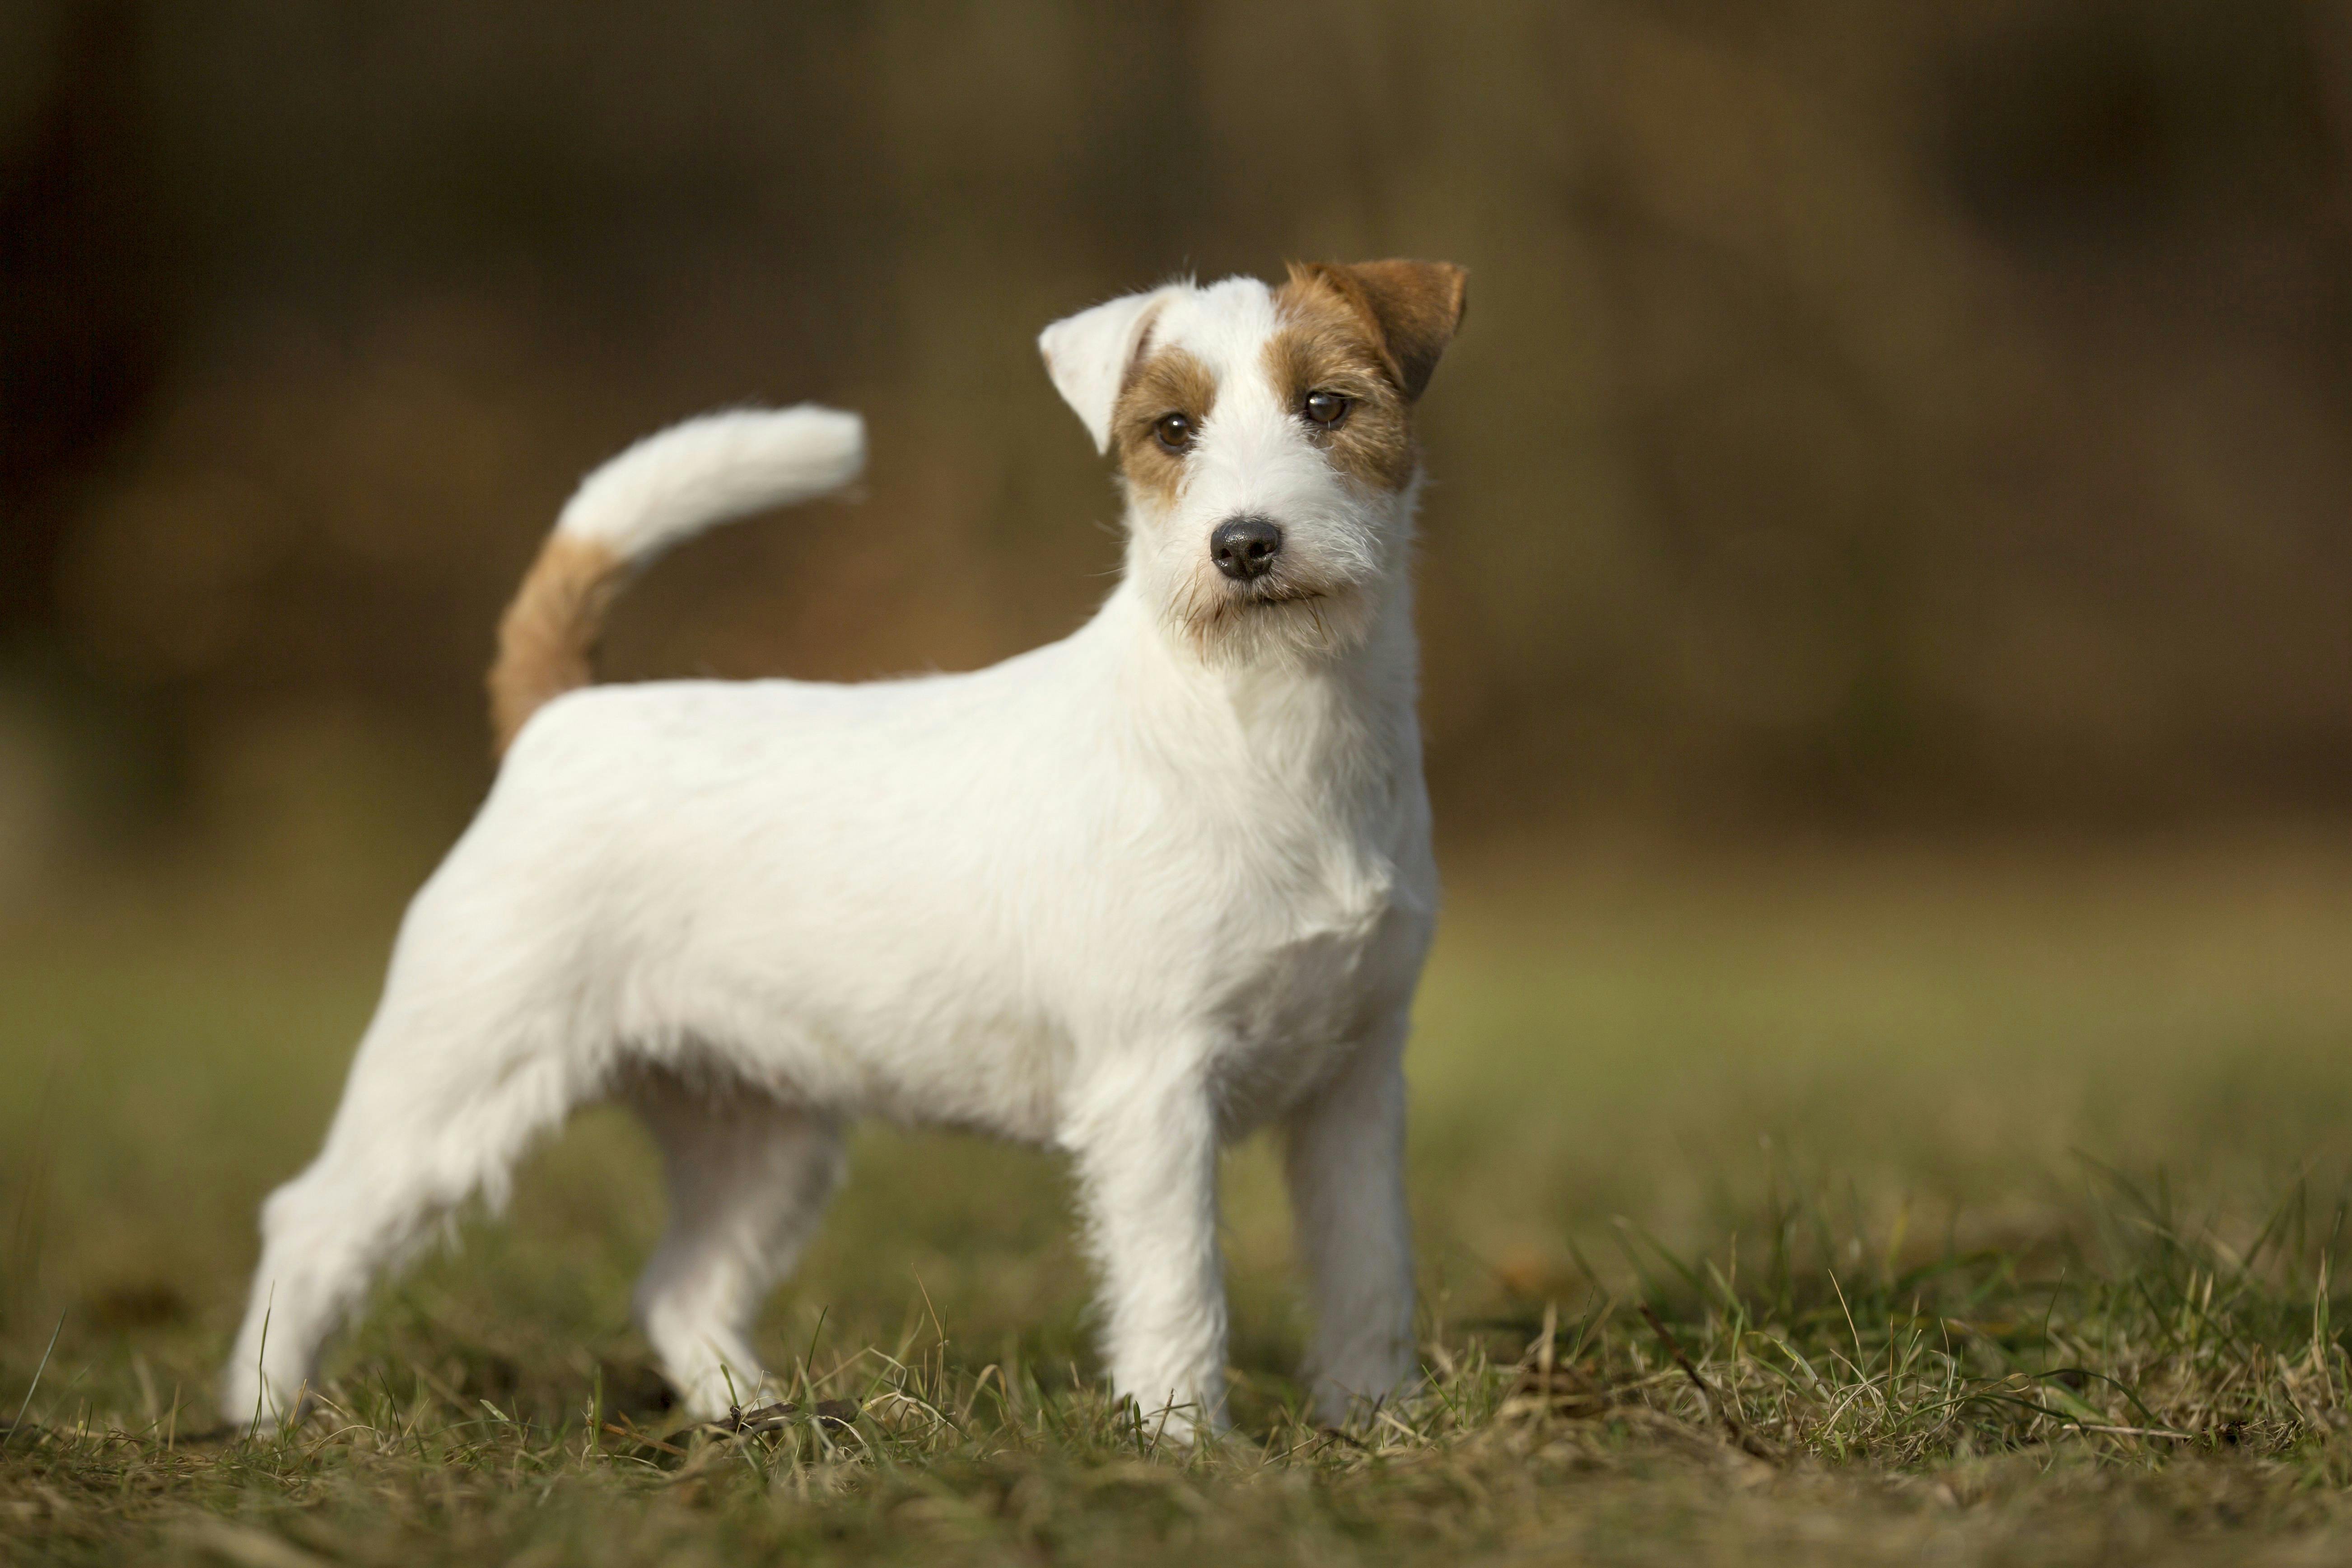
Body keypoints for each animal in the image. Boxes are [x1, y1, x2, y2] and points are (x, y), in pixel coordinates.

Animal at [224, 261, 1467, 1448]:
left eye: (1327, 406)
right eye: (1172, 429)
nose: (1245, 543)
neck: (1271, 724)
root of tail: (554, 719)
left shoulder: (1358, 1085)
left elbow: (1369, 1273)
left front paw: (1377, 1427)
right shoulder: (1155, 1090)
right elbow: (1178, 1293)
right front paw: (1185, 1445)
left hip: (758, 1135)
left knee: (682, 1287)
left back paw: (763, 1420)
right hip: (454, 1079)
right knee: (311, 1222)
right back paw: (265, 1422)